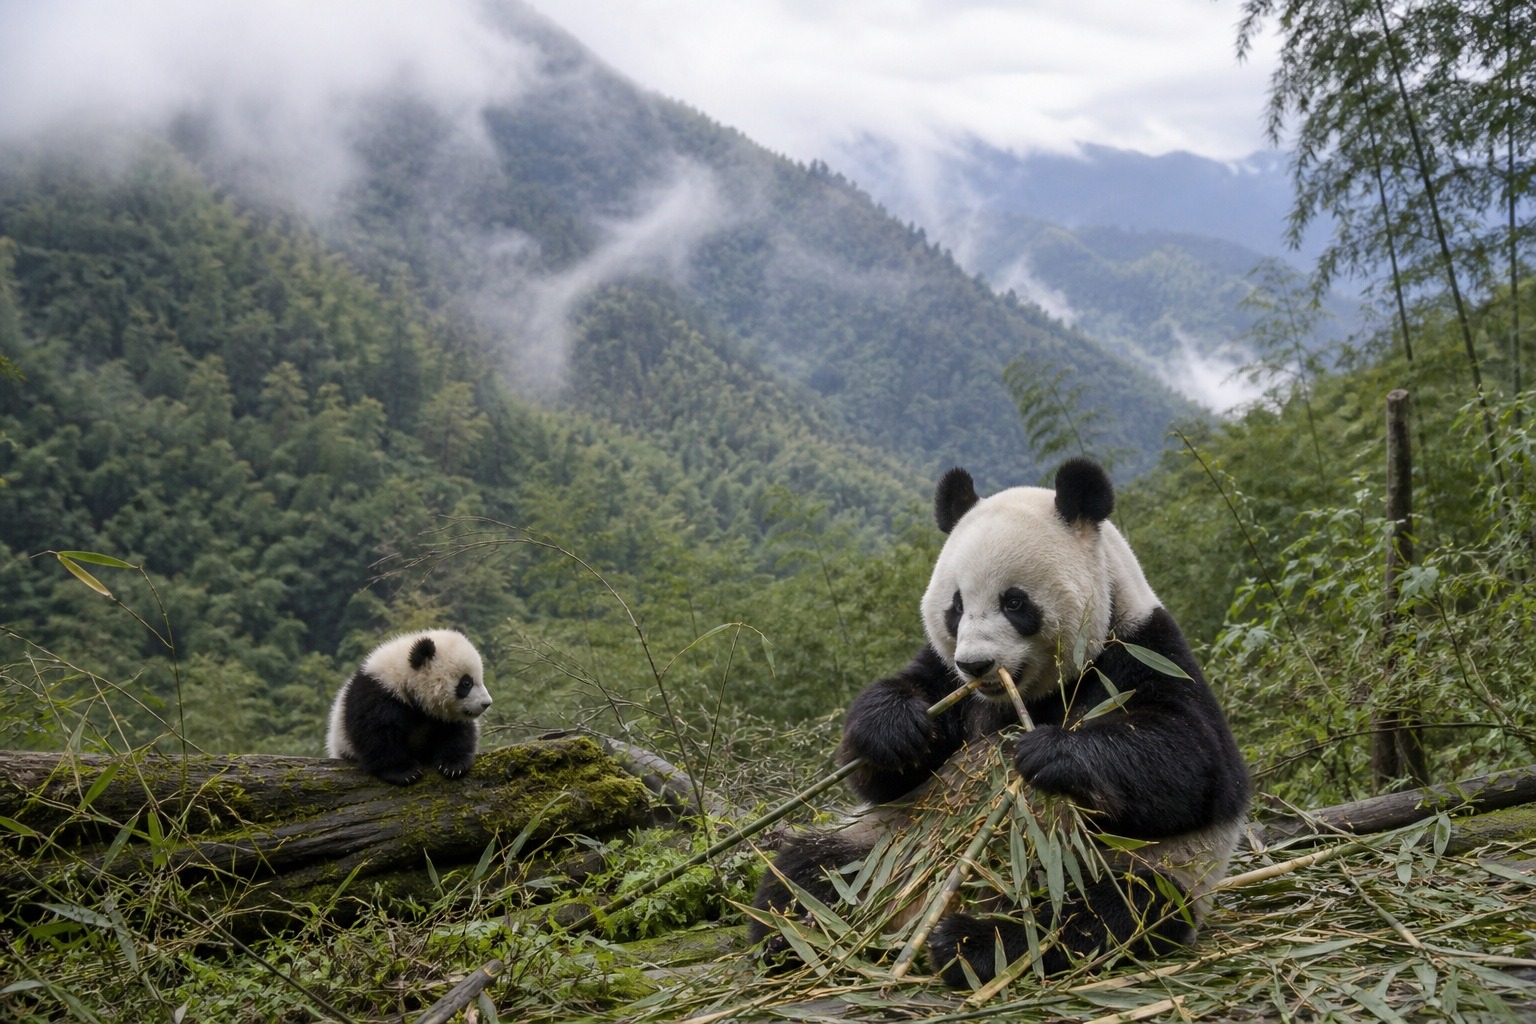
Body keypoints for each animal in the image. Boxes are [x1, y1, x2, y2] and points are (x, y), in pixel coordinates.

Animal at [326, 629, 493, 786]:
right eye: (466, 683)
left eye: (480, 678)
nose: (486, 703)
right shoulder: (378, 695)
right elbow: (376, 734)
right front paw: (404, 772)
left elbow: (456, 731)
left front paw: (453, 765)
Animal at [750, 458, 1249, 986]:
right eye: (956, 606)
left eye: (1014, 602)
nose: (976, 664)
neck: (1026, 695)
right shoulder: (947, 683)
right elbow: (886, 768)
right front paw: (893, 730)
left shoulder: (1140, 652)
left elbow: (1196, 766)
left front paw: (1048, 754)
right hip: (884, 842)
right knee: (808, 871)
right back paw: (789, 936)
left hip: (1133, 869)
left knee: (1096, 913)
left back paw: (970, 942)